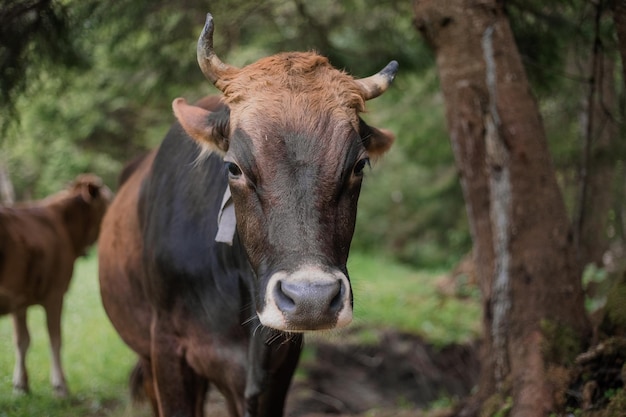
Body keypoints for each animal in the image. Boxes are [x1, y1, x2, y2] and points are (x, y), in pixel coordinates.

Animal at [0, 173, 111, 396]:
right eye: (110, 200)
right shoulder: (55, 293)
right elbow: (55, 339)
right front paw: (60, 386)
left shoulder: (19, 300)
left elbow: (22, 340)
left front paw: (21, 385)